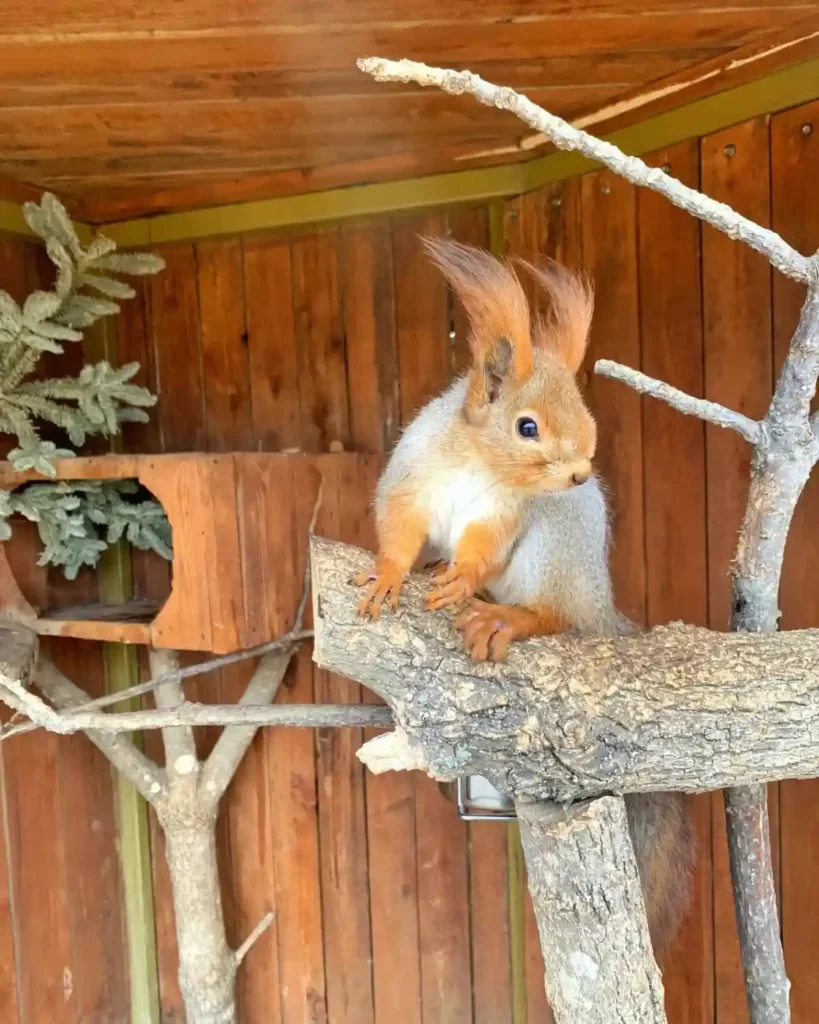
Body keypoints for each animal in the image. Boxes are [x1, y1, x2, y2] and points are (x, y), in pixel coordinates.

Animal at [354, 236, 695, 958]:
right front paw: (394, 574)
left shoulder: (503, 515)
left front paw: (460, 576)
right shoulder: (410, 481)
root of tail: (599, 604)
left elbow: (483, 546)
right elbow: (398, 530)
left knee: (553, 616)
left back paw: (503, 617)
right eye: (527, 426)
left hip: (553, 548)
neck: (475, 462)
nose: (581, 471)